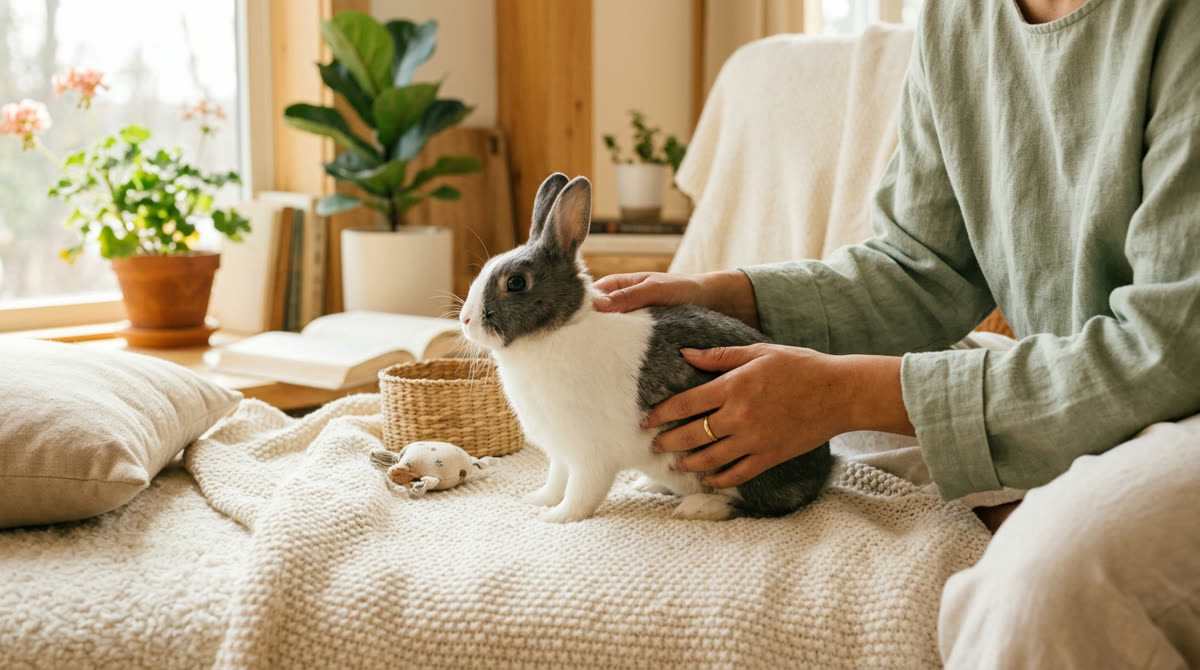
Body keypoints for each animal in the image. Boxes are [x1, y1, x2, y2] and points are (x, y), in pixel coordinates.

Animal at [459, 172, 834, 523]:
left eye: (515, 283)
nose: (465, 320)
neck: (557, 331)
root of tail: (824, 469)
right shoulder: (559, 451)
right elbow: (556, 480)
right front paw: (538, 501)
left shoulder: (588, 453)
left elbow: (581, 491)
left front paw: (557, 518)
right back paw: (649, 485)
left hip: (742, 466)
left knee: (766, 505)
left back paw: (699, 507)